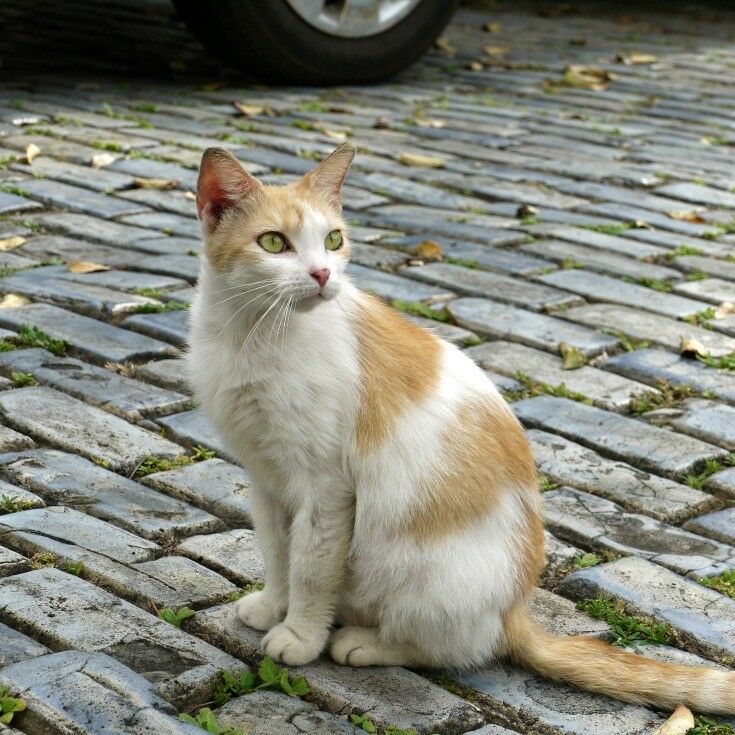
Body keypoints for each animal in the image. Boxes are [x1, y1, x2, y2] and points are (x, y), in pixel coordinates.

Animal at [188, 142, 735, 712]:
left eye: (333, 240)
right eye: (274, 243)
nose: (322, 275)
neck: (252, 334)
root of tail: (515, 609)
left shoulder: (326, 490)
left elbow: (311, 570)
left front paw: (300, 635)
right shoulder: (265, 477)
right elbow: (278, 554)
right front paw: (273, 606)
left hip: (418, 577)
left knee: (455, 648)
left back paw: (362, 642)